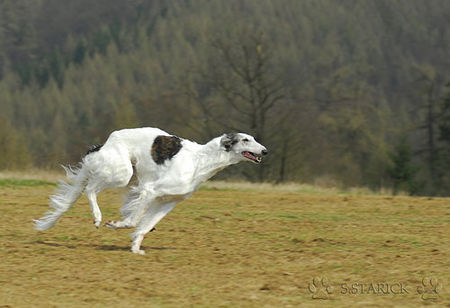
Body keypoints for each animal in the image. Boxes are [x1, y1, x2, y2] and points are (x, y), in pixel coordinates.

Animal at [36, 126, 268, 254]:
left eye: (253, 138)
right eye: (246, 139)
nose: (265, 151)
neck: (199, 161)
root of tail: (107, 141)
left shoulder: (169, 202)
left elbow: (145, 226)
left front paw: (136, 248)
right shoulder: (151, 190)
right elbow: (133, 220)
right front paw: (116, 225)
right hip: (123, 173)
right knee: (91, 189)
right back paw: (98, 217)